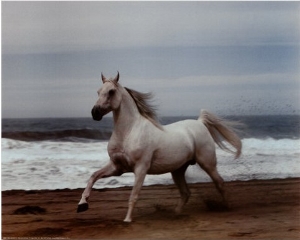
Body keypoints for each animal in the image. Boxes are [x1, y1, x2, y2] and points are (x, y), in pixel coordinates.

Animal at [77, 72, 241, 222]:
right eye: (98, 91)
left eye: (111, 91)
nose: (95, 113)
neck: (129, 132)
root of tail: (200, 122)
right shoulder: (117, 167)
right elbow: (93, 176)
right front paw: (82, 205)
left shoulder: (140, 168)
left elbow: (134, 195)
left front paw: (127, 220)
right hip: (178, 170)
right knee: (185, 192)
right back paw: (175, 214)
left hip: (207, 163)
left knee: (219, 183)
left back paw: (226, 207)